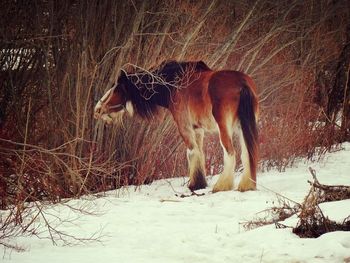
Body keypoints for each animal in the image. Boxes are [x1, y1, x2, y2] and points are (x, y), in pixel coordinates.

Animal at [94, 61, 258, 194]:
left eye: (116, 89)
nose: (97, 110)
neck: (176, 86)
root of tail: (242, 83)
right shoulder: (197, 129)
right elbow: (200, 153)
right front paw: (200, 183)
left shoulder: (185, 128)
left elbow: (191, 152)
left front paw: (194, 185)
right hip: (242, 127)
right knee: (247, 153)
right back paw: (246, 185)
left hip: (225, 129)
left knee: (230, 152)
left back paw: (222, 186)